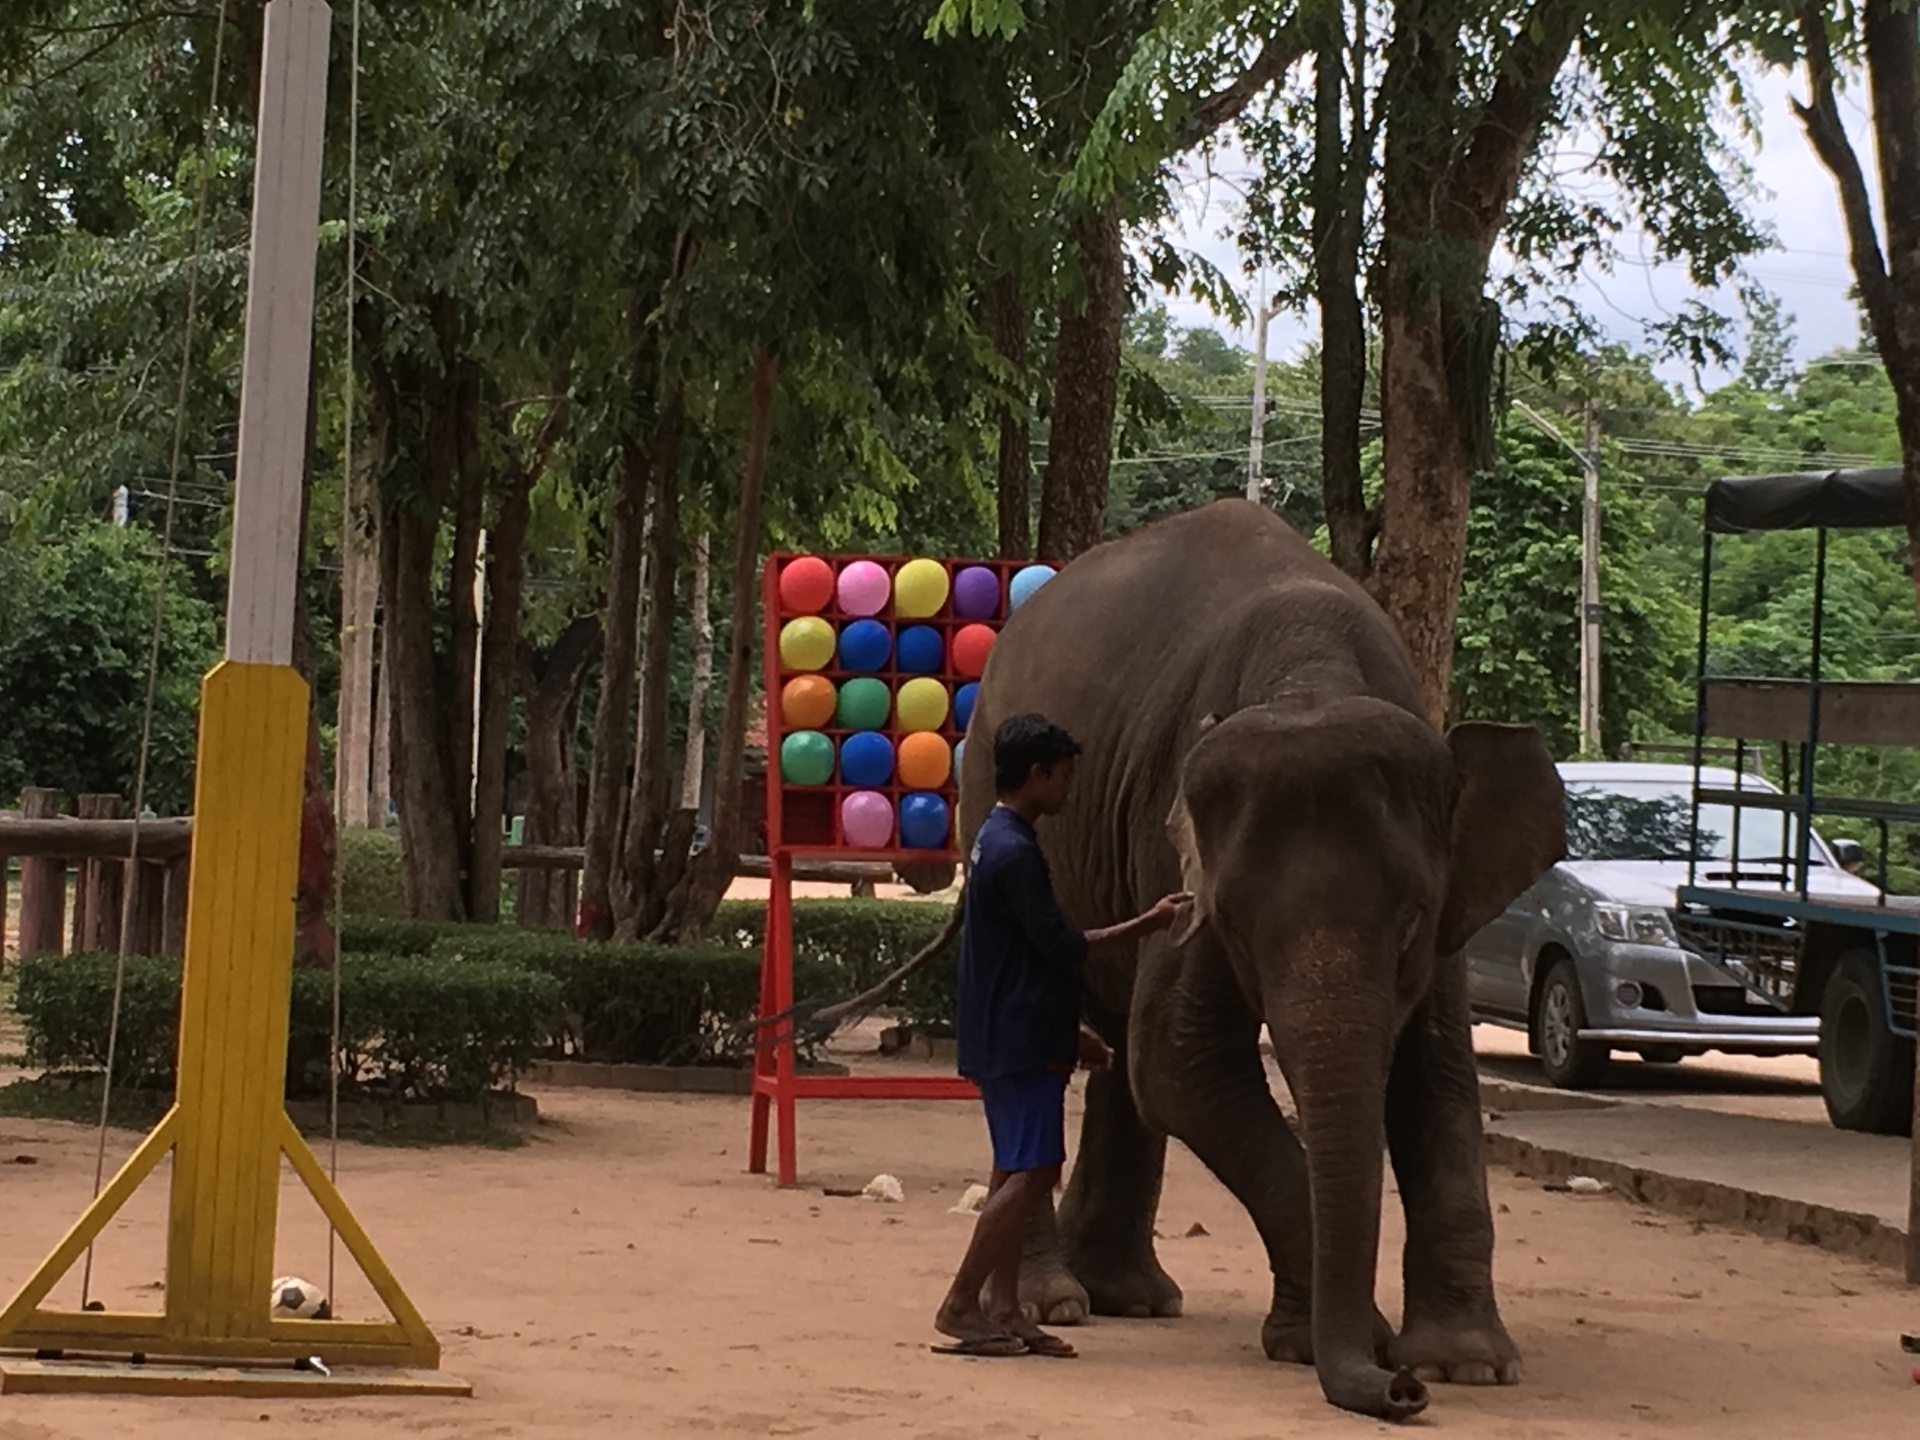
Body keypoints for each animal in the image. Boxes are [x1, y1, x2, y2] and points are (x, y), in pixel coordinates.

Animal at [952, 503, 1566, 1428]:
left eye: (1411, 922)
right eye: (1236, 925)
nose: (1401, 1390)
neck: (1309, 682)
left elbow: (1438, 1072)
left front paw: (1469, 1365)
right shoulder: (1175, 845)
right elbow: (1181, 1060)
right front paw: (1344, 1344)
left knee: (1115, 1057)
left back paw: (1130, 1297)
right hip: (986, 791)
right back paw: (1053, 1304)